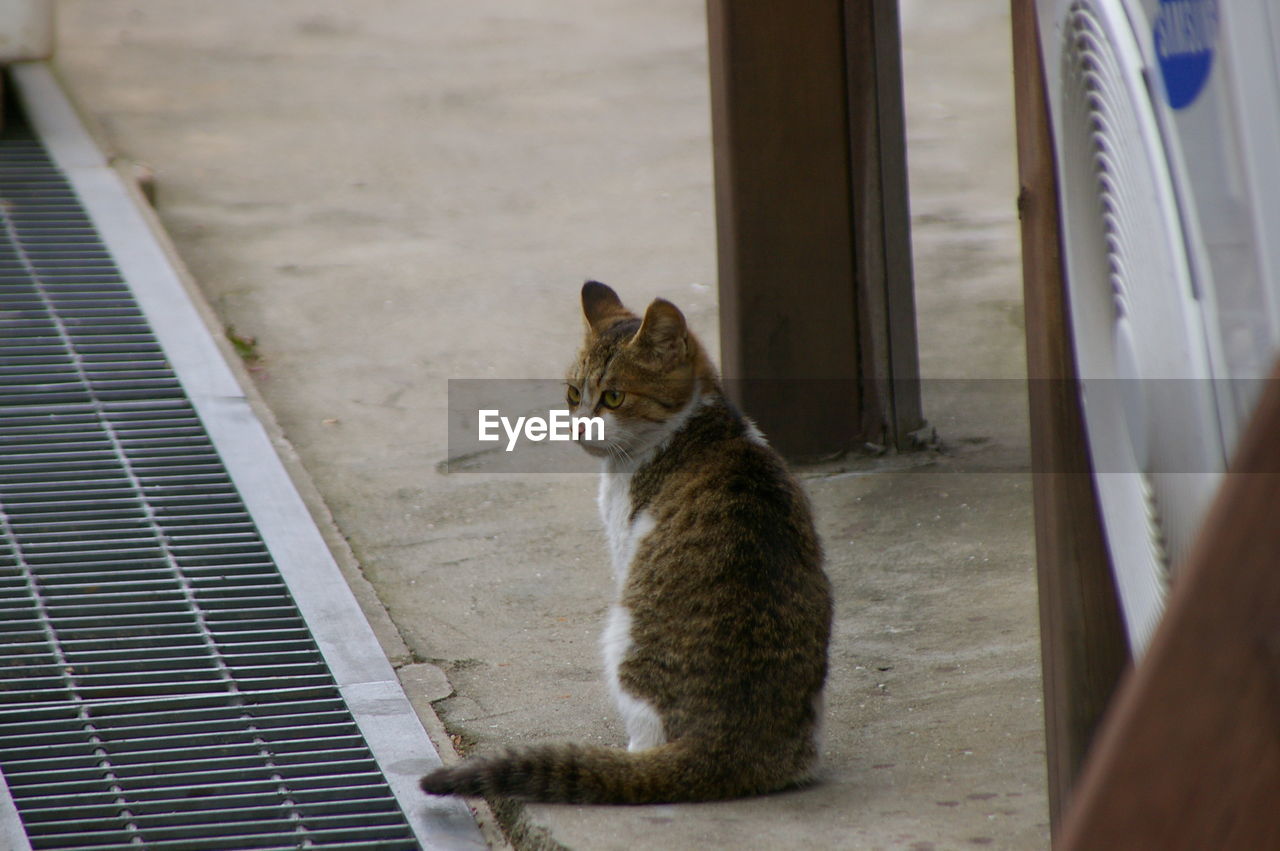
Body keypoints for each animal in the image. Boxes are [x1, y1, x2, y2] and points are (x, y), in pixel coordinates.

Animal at [424, 280, 834, 803]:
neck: (692, 427)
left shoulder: (625, 546)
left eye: (614, 397)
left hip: (622, 634)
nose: (579, 425)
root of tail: (723, 744)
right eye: (573, 393)